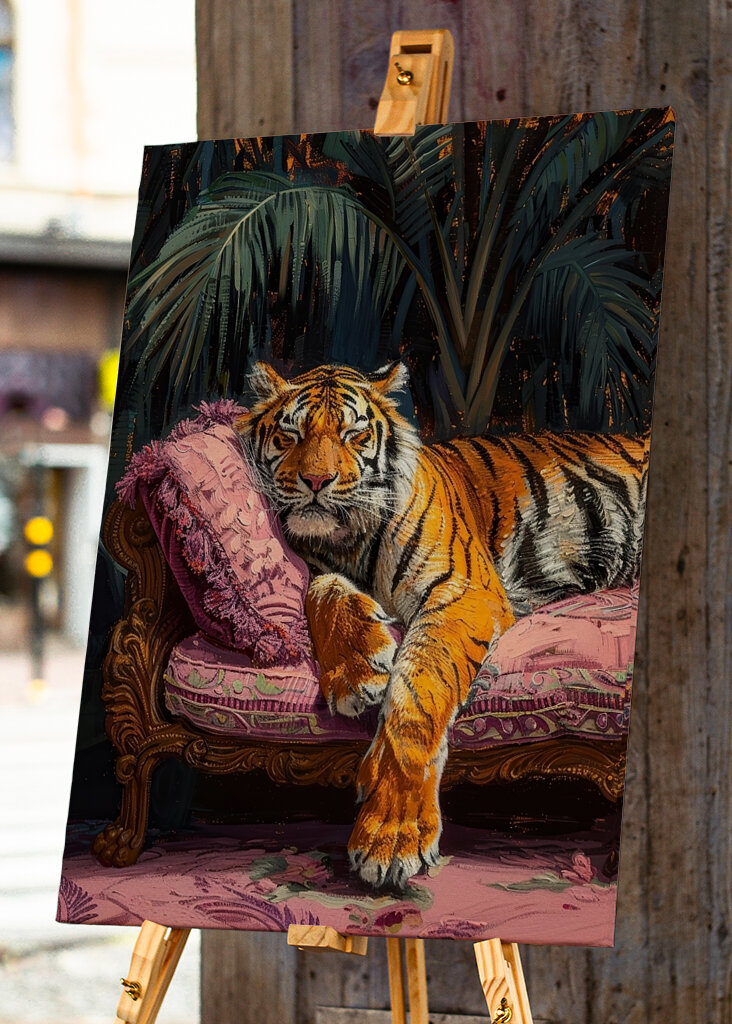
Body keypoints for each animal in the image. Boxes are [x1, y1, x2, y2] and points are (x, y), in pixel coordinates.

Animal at [235, 361, 648, 890]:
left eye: (354, 434)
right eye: (290, 434)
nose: (316, 480)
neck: (347, 541)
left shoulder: (462, 592)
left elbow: (417, 691)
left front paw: (392, 837)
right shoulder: (317, 569)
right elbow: (322, 592)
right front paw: (357, 672)